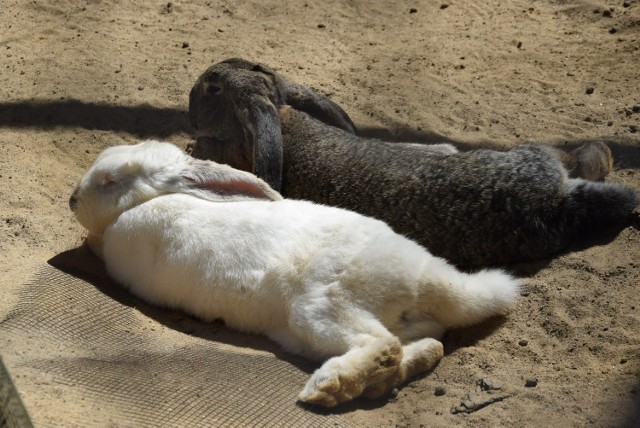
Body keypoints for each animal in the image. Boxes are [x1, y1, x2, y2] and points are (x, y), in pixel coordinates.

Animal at [70, 141, 520, 408]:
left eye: (110, 181)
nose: (73, 199)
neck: (149, 200)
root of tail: (428, 278)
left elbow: (96, 242)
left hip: (322, 310)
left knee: (383, 346)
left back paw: (328, 387)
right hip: (328, 329)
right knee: (429, 348)